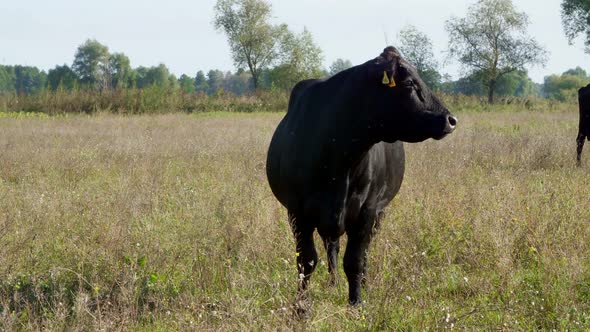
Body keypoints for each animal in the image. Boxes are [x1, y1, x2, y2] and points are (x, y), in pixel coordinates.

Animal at [268, 46, 458, 312]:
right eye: (410, 83)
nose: (450, 120)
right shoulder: (297, 212)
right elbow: (306, 261)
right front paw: (301, 306)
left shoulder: (367, 211)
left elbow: (355, 260)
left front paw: (356, 303)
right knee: (331, 247)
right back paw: (333, 282)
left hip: (378, 213)